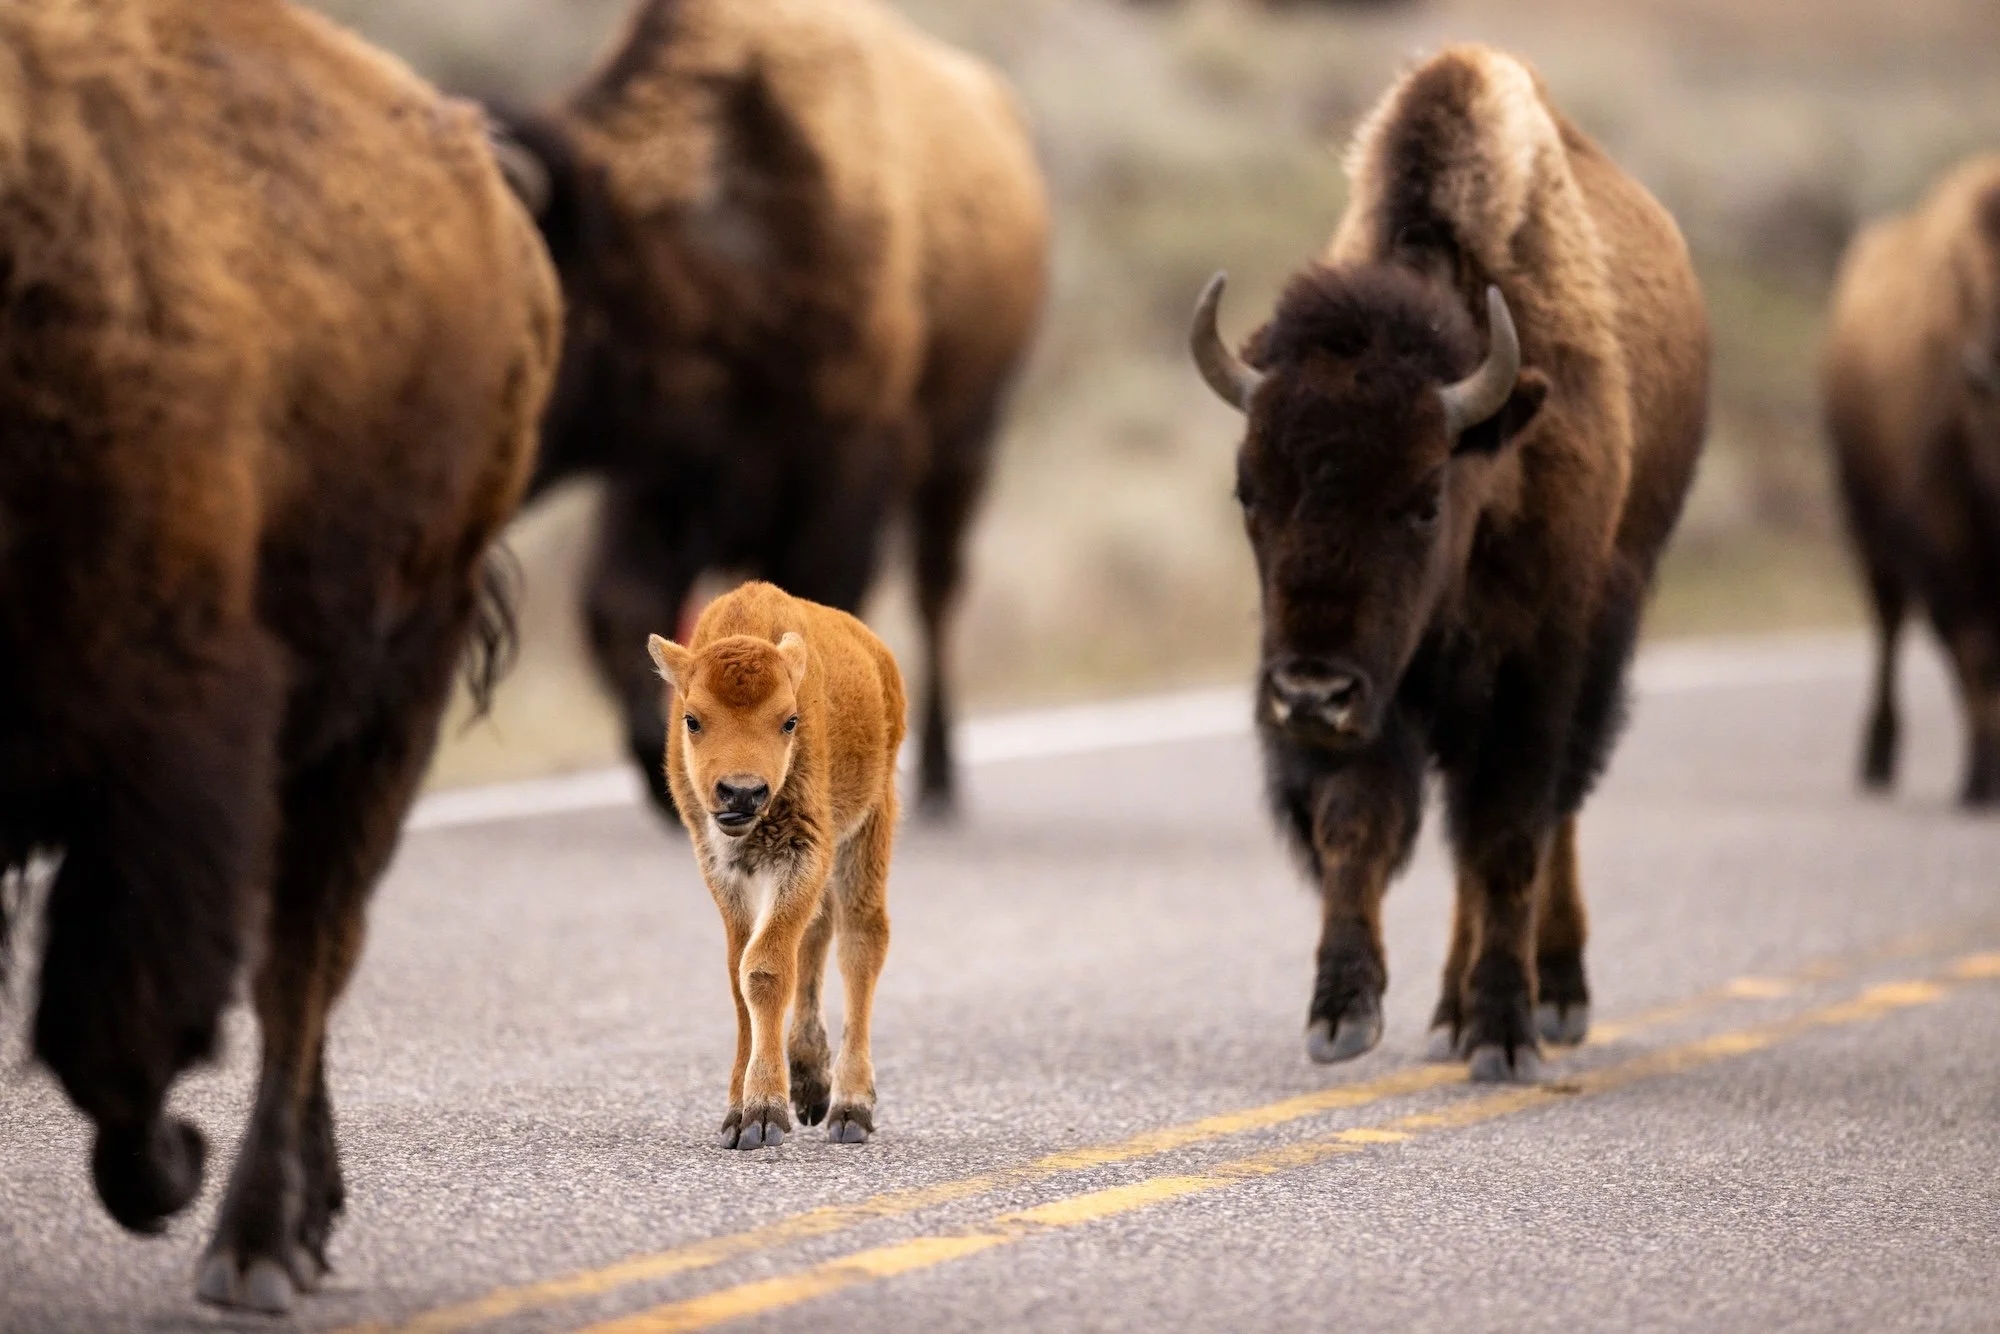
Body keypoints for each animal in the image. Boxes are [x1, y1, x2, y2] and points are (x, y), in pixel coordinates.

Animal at [0, 0, 558, 1313]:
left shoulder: (168, 733)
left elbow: (114, 1023)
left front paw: (168, 1163)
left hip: (389, 696)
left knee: (301, 958)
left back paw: (250, 1245)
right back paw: (299, 1219)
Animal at [488, 0, 1050, 817]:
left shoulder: (845, 464)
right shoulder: (662, 478)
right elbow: (625, 603)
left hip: (965, 449)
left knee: (937, 594)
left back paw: (943, 779)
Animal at [1190, 46, 1709, 1080]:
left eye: (1425, 498)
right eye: (1248, 492)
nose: (1308, 694)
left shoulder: (1535, 671)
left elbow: (1508, 836)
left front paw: (1505, 1034)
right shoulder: (1382, 697)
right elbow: (1360, 825)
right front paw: (1342, 1015)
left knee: (1551, 818)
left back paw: (1552, 999)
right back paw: (1444, 1011)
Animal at [1824, 156, 2000, 806]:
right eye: (1986, 403)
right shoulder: (1940, 536)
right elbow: (1975, 648)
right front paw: (1981, 777)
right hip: (1871, 535)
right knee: (1890, 627)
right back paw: (1878, 759)